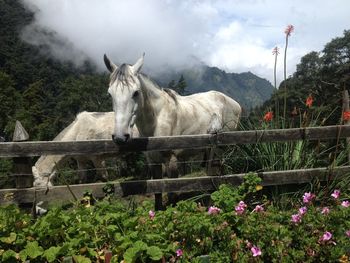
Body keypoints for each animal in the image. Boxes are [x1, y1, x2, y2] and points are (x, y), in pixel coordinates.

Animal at [102, 54, 242, 210]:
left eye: (136, 92)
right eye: (109, 94)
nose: (120, 137)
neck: (158, 119)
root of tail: (233, 102)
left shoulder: (172, 160)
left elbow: (172, 192)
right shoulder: (153, 161)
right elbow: (157, 191)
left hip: (221, 148)